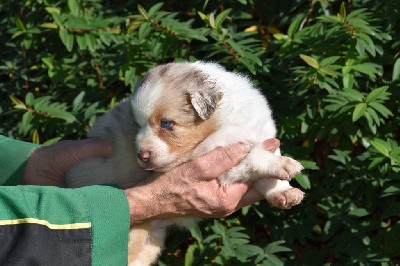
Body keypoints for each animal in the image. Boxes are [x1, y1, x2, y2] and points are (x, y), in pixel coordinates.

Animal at [66, 60, 304, 266]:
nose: (141, 156)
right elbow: (254, 158)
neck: (226, 123)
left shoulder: (263, 133)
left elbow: (267, 177)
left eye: (166, 123)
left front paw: (284, 193)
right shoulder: (219, 160)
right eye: (137, 125)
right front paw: (285, 165)